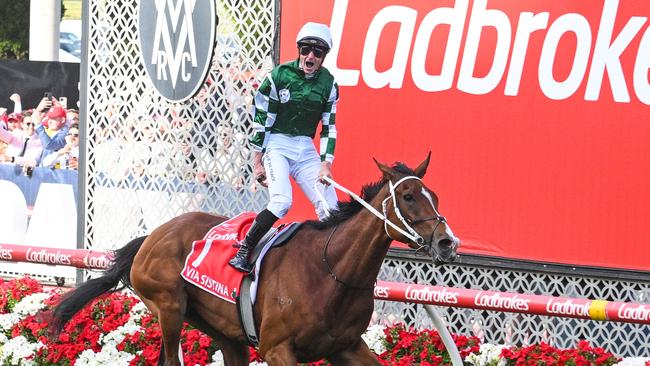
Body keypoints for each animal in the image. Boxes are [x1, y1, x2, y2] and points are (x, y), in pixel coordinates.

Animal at [49, 154, 456, 366]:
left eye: (435, 195)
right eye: (407, 196)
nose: (447, 241)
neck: (332, 272)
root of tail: (152, 235)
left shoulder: (346, 346)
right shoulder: (278, 349)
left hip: (224, 331)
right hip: (169, 307)